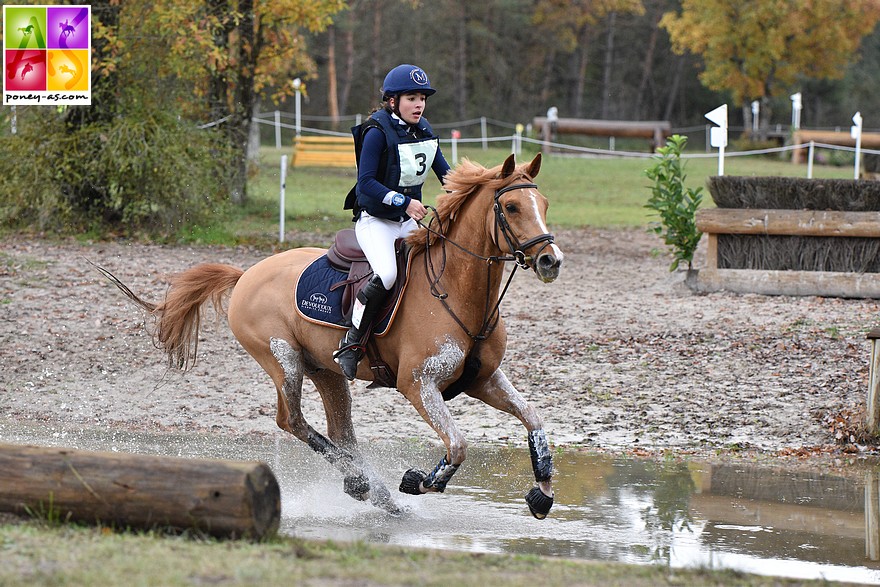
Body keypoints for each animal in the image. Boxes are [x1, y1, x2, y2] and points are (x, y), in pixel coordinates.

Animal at [103, 153, 564, 520]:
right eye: (511, 206)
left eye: (543, 204)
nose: (550, 260)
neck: (456, 290)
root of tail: (246, 273)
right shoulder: (417, 384)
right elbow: (458, 445)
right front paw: (419, 480)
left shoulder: (483, 379)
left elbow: (534, 419)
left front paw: (542, 493)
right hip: (283, 360)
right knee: (292, 421)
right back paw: (365, 486)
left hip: (326, 370)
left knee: (340, 433)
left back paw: (375, 494)